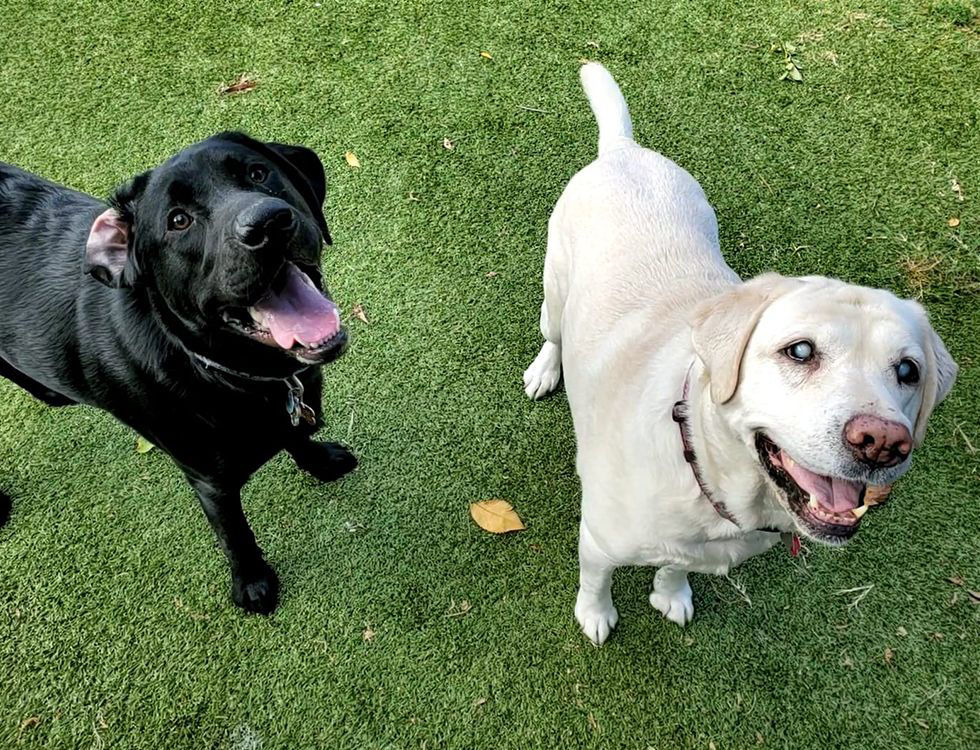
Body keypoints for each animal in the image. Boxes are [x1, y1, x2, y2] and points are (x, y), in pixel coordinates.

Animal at [0, 134, 358, 616]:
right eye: (178, 221)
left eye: (258, 172)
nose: (268, 223)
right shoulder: (209, 480)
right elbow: (235, 534)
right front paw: (253, 585)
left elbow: (297, 436)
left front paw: (321, 462)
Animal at [524, 63, 960, 648]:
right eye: (800, 350)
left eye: (908, 371)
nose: (883, 443)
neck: (706, 474)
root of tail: (624, 150)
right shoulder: (597, 540)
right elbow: (597, 582)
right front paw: (595, 616)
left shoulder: (697, 547)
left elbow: (674, 566)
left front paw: (671, 594)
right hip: (555, 290)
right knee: (553, 331)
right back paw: (546, 370)